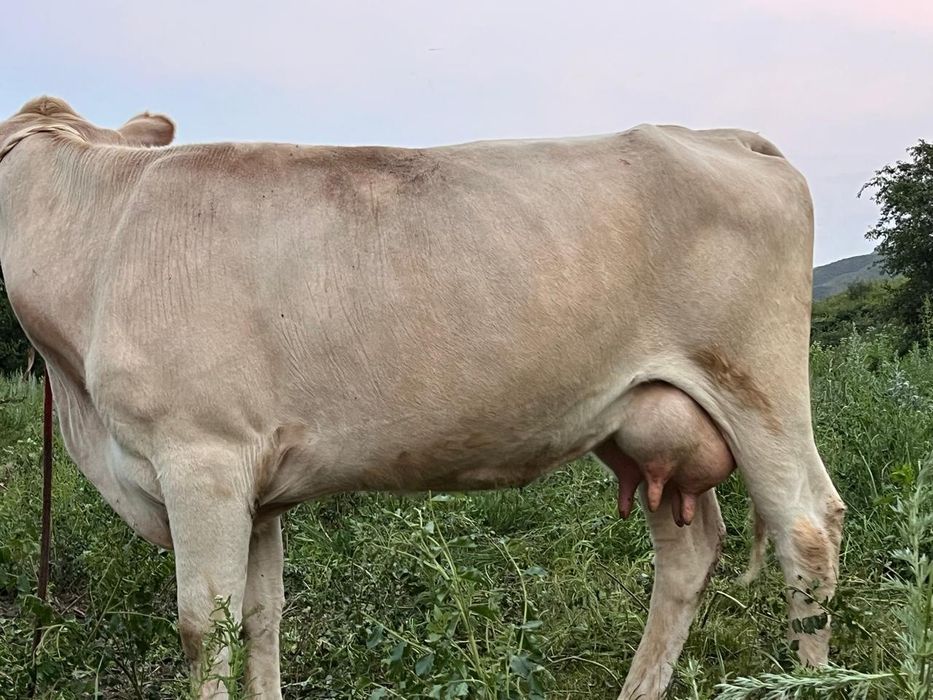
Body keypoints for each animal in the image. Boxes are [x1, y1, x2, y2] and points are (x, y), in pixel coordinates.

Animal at [0, 96, 845, 699]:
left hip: (758, 385)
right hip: (649, 417)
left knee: (806, 529)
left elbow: (203, 630)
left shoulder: (200, 457)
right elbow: (261, 620)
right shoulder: (256, 487)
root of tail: (728, 137)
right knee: (688, 551)